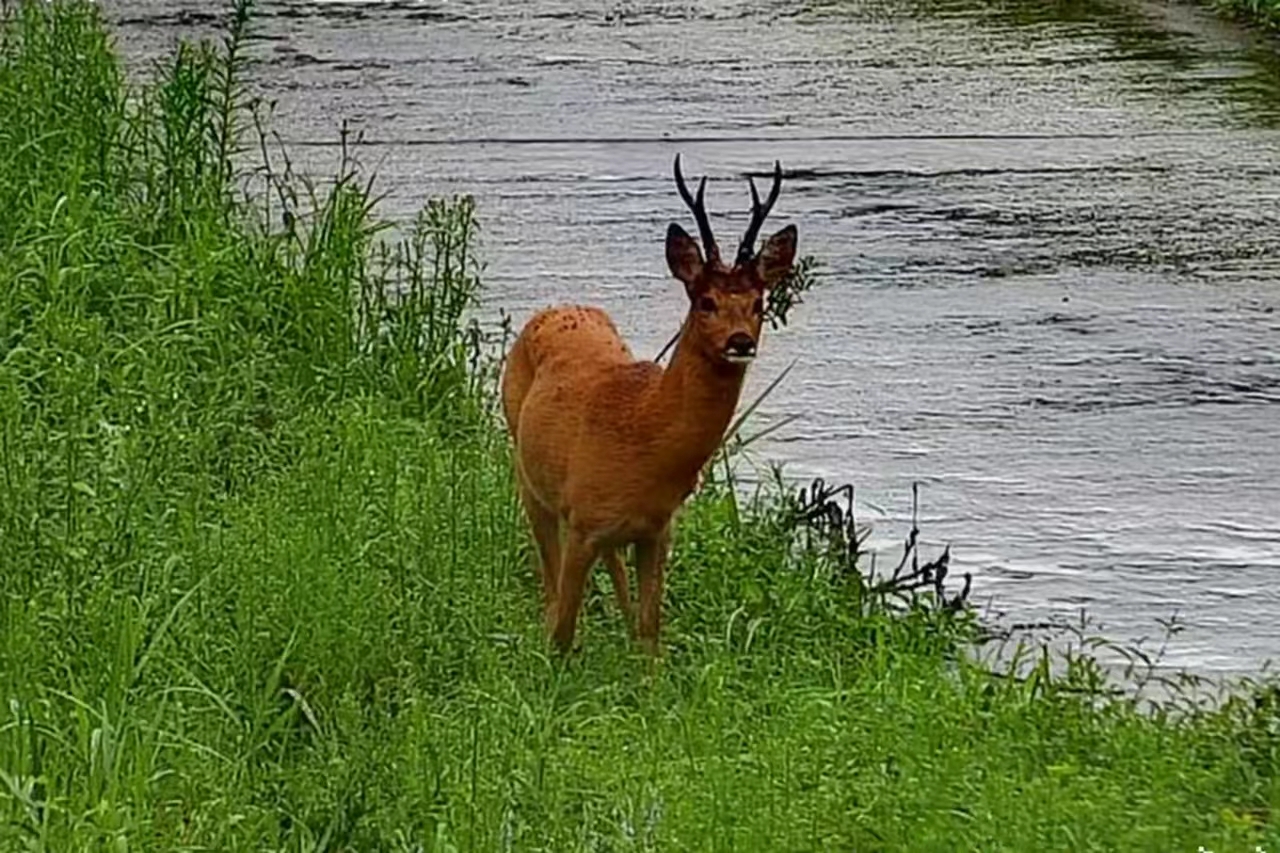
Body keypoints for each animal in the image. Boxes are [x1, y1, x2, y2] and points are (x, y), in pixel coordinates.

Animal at [501, 154, 793, 650]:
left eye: (758, 302)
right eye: (706, 301)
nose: (740, 342)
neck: (646, 437)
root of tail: (555, 308)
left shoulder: (658, 531)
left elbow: (650, 632)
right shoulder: (581, 520)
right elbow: (564, 630)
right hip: (528, 475)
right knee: (549, 581)